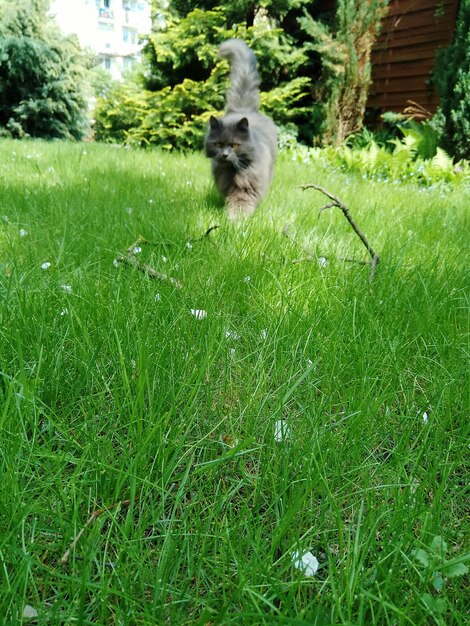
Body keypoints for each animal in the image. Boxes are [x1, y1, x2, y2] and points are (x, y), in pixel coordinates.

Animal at [204, 39, 278, 219]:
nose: (225, 155)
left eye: (235, 145)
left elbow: (241, 204)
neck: (233, 172)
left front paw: (237, 220)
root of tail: (243, 109)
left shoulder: (246, 187)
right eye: (218, 144)